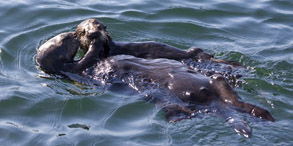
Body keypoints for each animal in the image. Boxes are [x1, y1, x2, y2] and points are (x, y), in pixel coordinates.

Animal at [36, 18, 274, 137]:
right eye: (66, 40)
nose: (75, 33)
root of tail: (217, 104)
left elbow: (109, 49)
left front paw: (100, 35)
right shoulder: (79, 69)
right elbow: (90, 57)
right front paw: (94, 40)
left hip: (216, 80)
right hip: (177, 99)